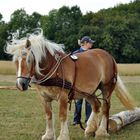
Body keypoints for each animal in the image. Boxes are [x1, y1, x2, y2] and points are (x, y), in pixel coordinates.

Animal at [5, 29, 136, 139]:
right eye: (15, 61)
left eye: (28, 60)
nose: (21, 84)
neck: (52, 67)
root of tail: (109, 56)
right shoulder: (44, 97)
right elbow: (48, 115)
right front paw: (48, 135)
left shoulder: (63, 96)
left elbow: (62, 115)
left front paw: (63, 136)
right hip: (88, 91)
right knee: (96, 105)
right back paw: (90, 129)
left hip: (106, 87)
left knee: (105, 107)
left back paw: (101, 131)